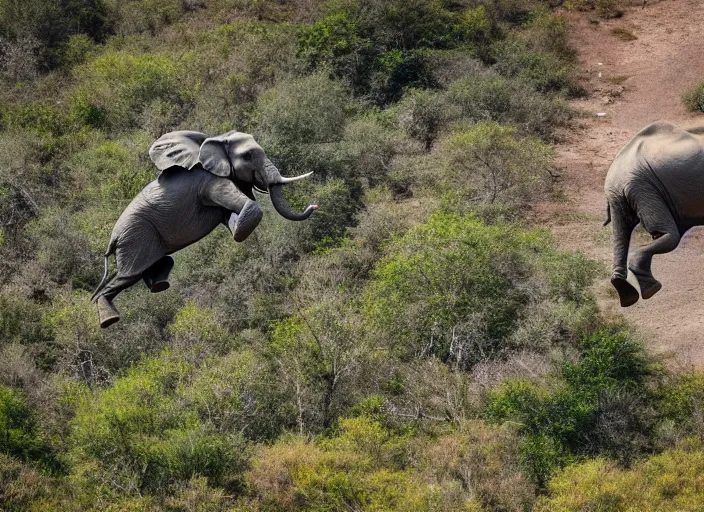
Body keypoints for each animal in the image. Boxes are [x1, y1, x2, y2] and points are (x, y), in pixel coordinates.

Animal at [91, 129, 320, 328]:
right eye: (247, 156)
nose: (314, 205)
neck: (218, 140)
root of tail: (112, 240)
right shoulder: (211, 183)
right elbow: (247, 205)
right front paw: (239, 232)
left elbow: (228, 213)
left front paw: (235, 226)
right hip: (135, 238)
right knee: (128, 275)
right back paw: (109, 320)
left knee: (160, 262)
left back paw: (159, 286)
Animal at [604, 122, 704, 306]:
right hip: (645, 187)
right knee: (670, 235)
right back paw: (650, 289)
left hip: (622, 194)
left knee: (621, 233)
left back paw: (628, 295)